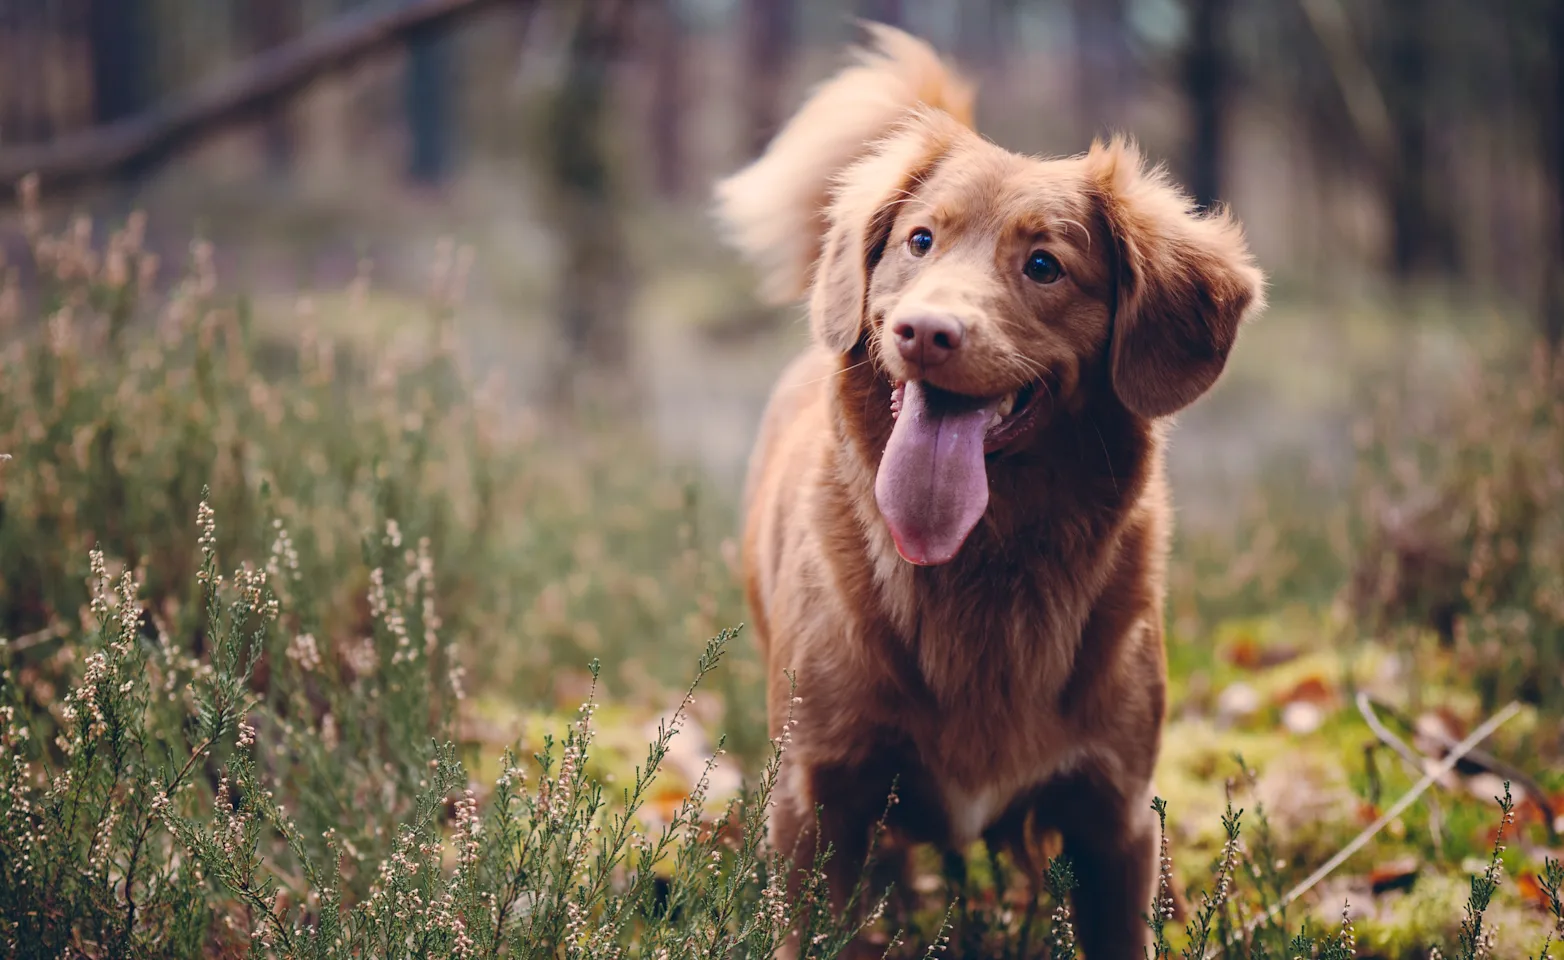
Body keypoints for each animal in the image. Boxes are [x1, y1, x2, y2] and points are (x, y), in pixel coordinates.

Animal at [716, 24, 1263, 960]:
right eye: (919, 241)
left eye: (1044, 265)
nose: (924, 332)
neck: (986, 561)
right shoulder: (817, 799)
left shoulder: (1113, 818)